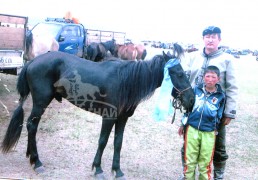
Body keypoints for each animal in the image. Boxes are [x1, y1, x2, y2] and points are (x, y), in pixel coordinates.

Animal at [0, 43, 194, 179]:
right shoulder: (109, 117)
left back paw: (31, 157)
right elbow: (103, 141)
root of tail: (33, 61)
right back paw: (37, 162)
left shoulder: (122, 119)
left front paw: (118, 171)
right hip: (40, 102)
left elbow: (118, 143)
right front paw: (98, 169)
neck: (126, 81)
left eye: (184, 73)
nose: (191, 100)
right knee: (31, 126)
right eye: (179, 74)